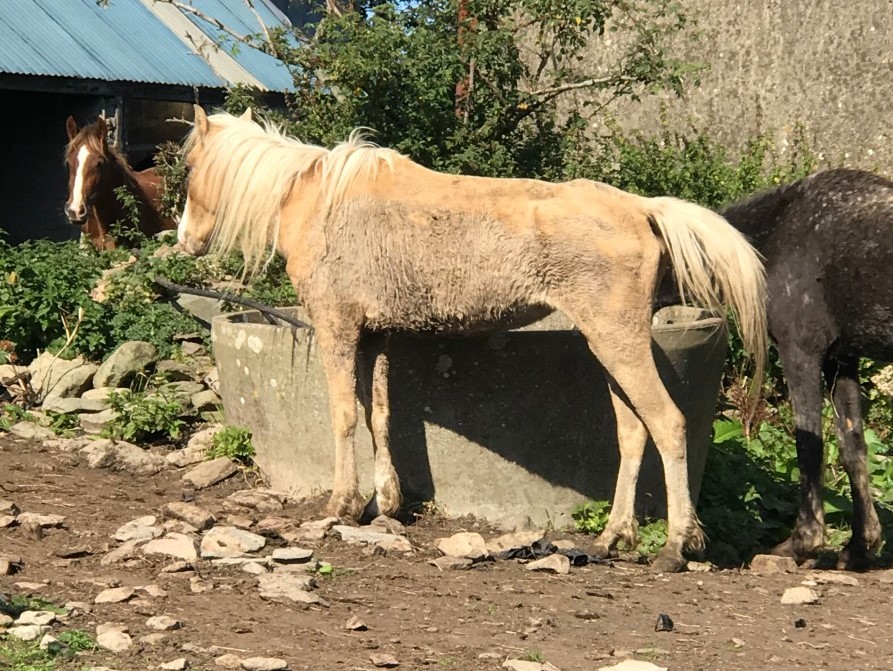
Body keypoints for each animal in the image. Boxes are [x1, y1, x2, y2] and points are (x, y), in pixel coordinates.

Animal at [176, 106, 768, 572]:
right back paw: (613, 537)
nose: (182, 239)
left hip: (617, 342)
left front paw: (341, 504)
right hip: (610, 346)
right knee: (633, 433)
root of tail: (643, 208)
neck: (320, 200)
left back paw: (677, 546)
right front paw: (386, 502)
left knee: (668, 425)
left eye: (188, 167)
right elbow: (379, 415)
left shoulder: (336, 325)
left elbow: (344, 415)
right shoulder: (377, 335)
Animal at [720, 168, 892, 568]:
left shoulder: (800, 352)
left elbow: (809, 445)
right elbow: (852, 447)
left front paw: (802, 543)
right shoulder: (841, 360)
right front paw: (859, 546)